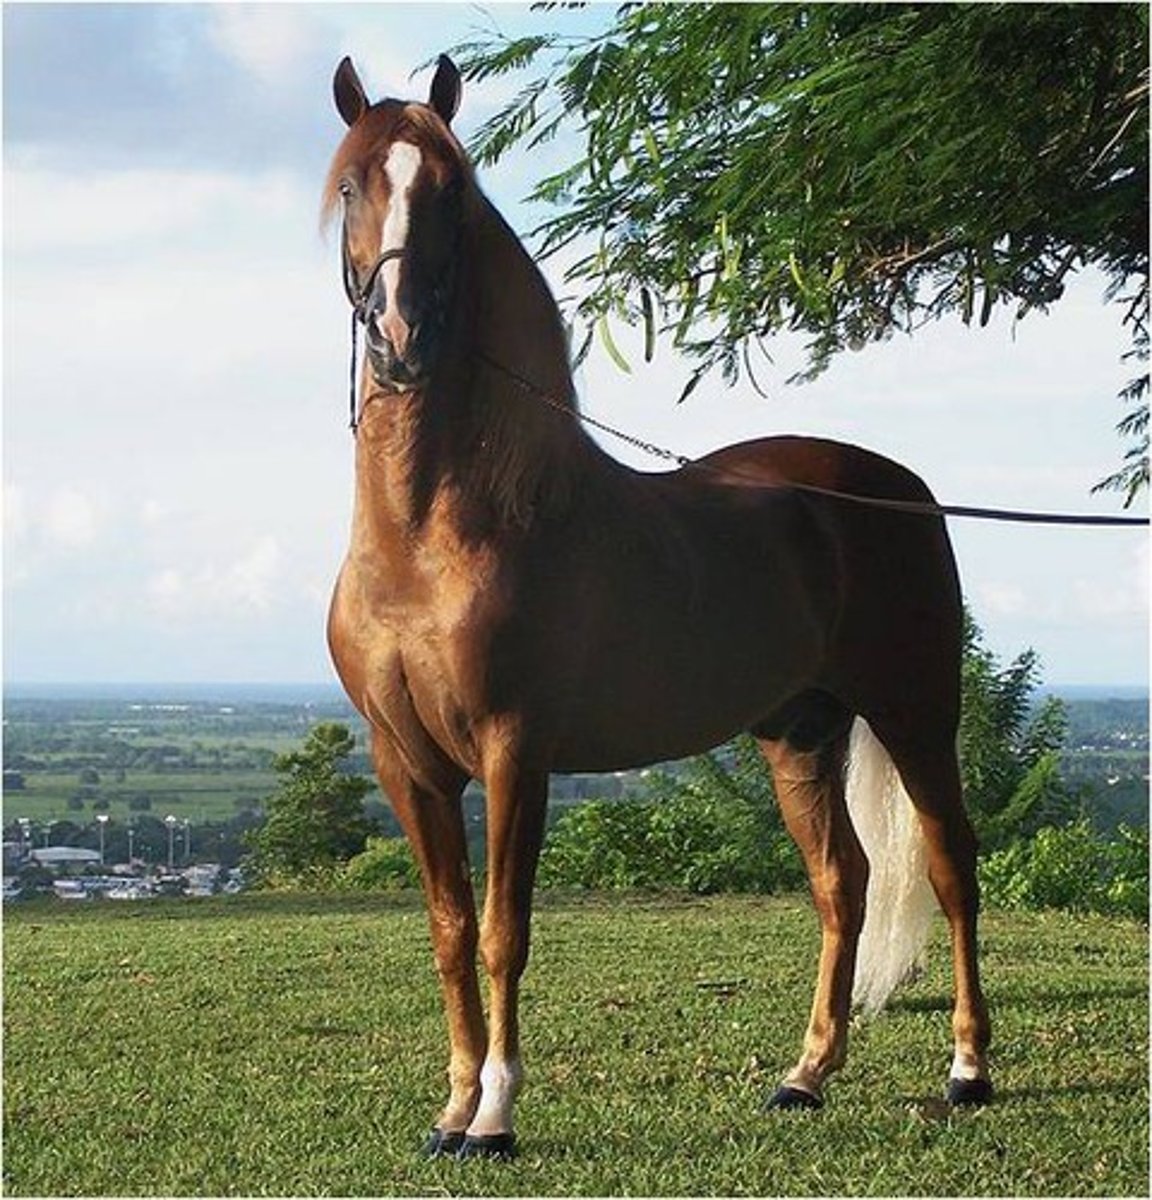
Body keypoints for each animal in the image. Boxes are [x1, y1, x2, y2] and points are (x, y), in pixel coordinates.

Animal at [323, 54, 992, 1160]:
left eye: (452, 192)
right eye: (350, 187)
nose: (401, 338)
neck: (434, 537)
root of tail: (895, 487)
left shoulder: (515, 751)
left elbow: (504, 931)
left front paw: (495, 1117)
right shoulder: (404, 760)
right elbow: (450, 930)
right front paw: (451, 1109)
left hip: (915, 715)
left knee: (950, 867)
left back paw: (971, 1069)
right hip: (799, 733)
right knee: (842, 883)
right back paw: (805, 1076)